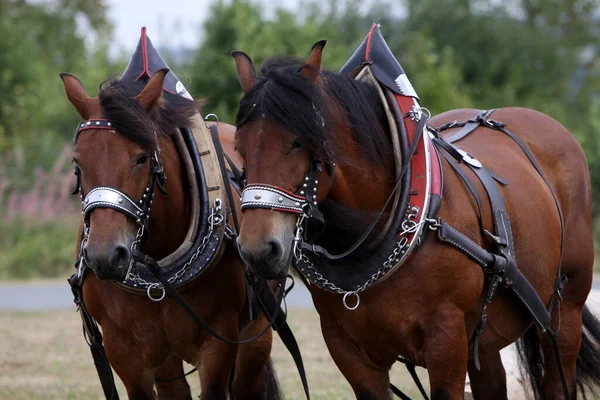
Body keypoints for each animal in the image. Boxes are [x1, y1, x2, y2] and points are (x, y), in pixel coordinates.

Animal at [61, 69, 282, 400]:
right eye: (78, 162)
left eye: (141, 158)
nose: (104, 256)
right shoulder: (121, 347)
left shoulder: (220, 340)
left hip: (255, 335)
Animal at [232, 36, 600, 396]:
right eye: (239, 147)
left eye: (298, 142)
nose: (258, 249)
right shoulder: (349, 352)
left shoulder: (446, 342)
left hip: (563, 313)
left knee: (557, 378)